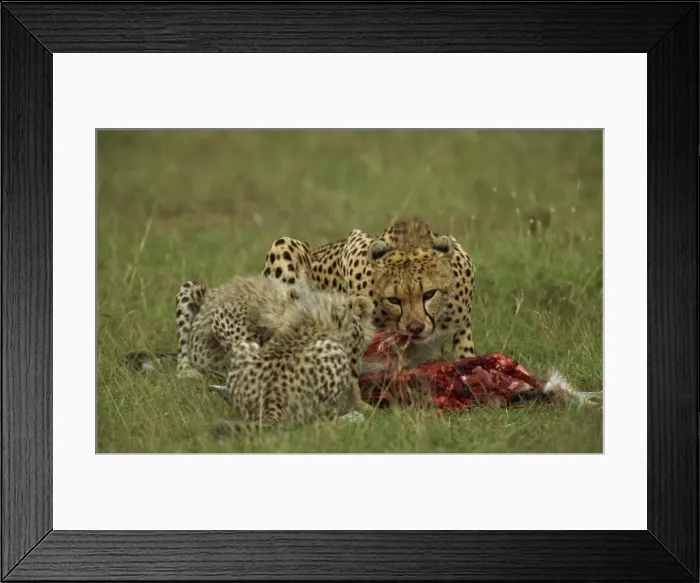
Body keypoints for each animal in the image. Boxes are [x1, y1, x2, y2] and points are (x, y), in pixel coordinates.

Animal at [210, 290, 377, 437]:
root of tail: (271, 404)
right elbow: (358, 397)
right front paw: (371, 412)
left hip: (246, 346)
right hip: (332, 352)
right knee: (323, 423)